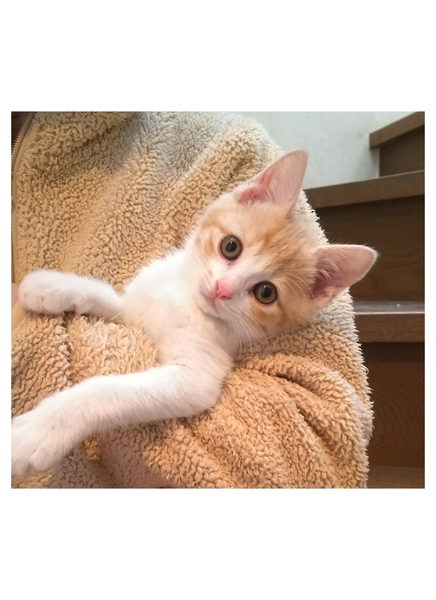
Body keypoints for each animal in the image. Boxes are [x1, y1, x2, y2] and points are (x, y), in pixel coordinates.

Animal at [12, 149, 377, 477]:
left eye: (266, 293)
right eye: (231, 246)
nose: (222, 289)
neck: (185, 297)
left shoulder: (196, 377)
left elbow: (106, 390)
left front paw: (40, 431)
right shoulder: (139, 307)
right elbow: (111, 299)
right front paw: (51, 286)